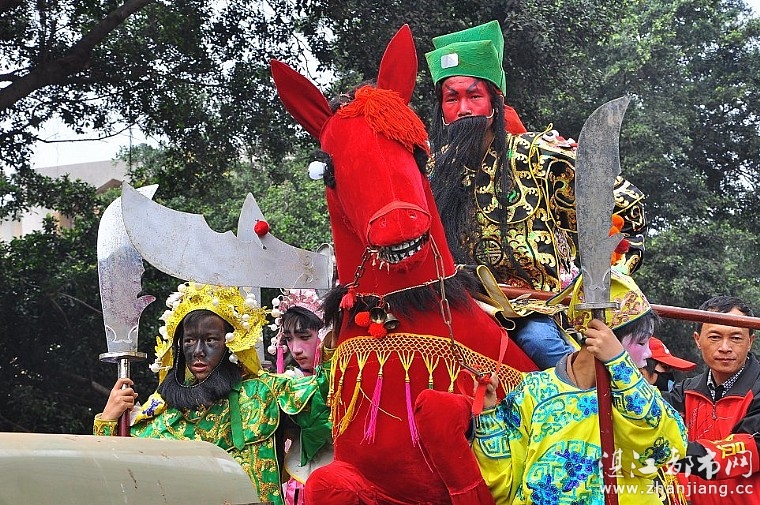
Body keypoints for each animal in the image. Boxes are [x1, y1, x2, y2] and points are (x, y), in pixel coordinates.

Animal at [271, 25, 537, 505]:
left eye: (418, 151)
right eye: (330, 169)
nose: (400, 224)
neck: (405, 309)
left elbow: (445, 425)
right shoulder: (378, 483)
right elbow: (324, 482)